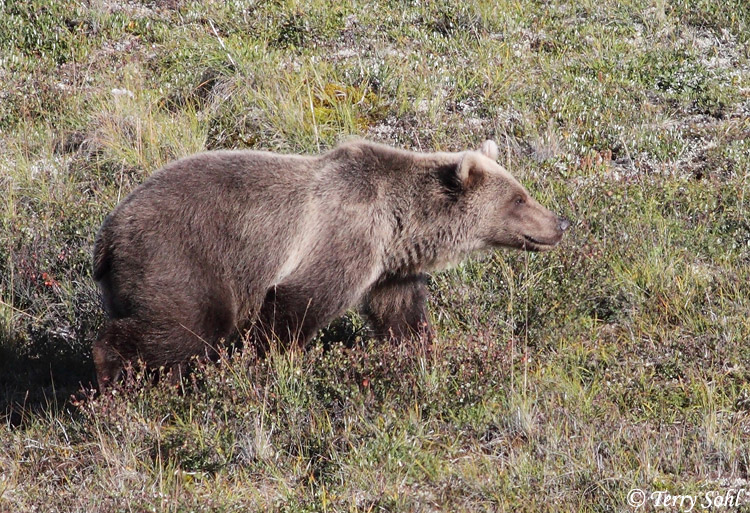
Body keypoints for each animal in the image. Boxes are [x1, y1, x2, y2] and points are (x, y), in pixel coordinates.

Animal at [92, 139, 569, 388]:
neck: (399, 224)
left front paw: (423, 356)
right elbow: (295, 307)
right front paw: (273, 366)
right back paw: (113, 380)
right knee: (183, 326)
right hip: (182, 259)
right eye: (519, 198)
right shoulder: (341, 237)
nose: (561, 222)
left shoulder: (387, 269)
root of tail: (107, 237)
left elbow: (401, 314)